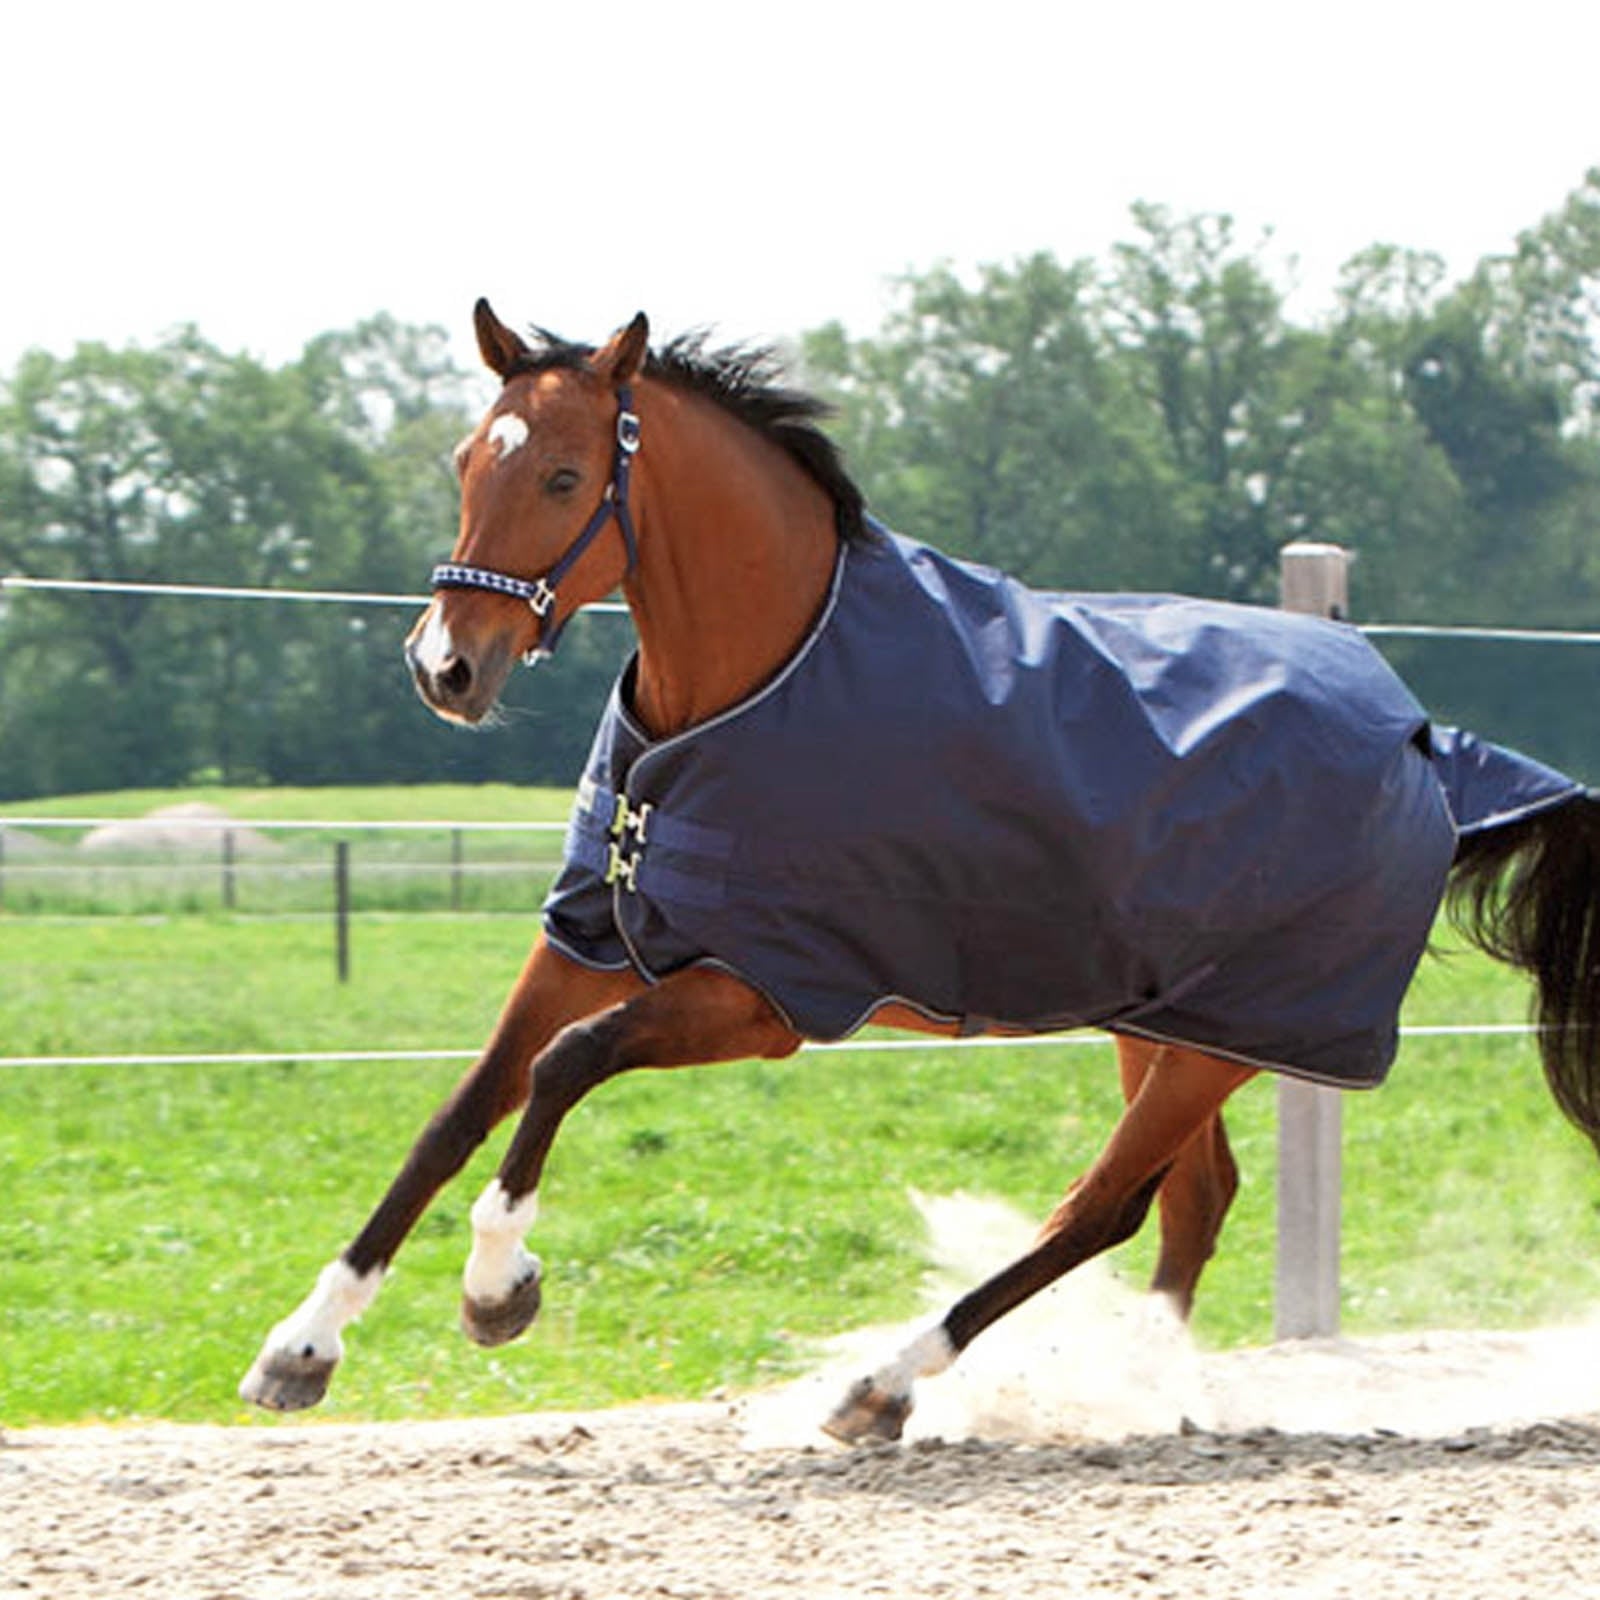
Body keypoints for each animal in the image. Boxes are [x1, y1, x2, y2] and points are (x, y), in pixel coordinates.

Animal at [240, 301, 1600, 1443]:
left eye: (565, 475)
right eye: (469, 461)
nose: (445, 666)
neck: (740, 696)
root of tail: (1425, 742)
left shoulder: (765, 995)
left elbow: (564, 1069)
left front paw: (498, 1288)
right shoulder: (588, 936)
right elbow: (460, 1109)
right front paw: (302, 1347)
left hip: (1233, 1031)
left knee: (1104, 1206)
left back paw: (885, 1385)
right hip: (1163, 1021)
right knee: (1192, 1196)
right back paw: (1132, 1387)